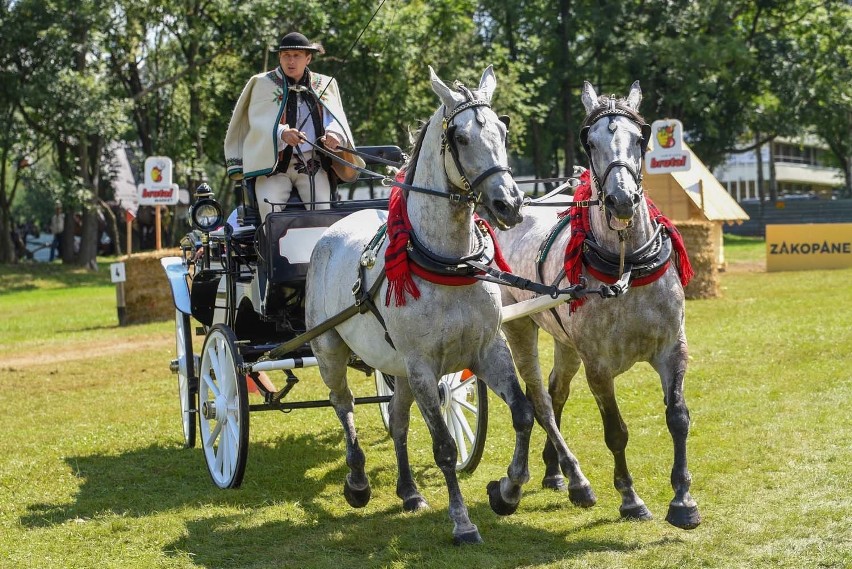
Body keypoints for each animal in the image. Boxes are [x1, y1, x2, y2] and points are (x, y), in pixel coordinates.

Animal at [306, 64, 532, 544]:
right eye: (460, 137)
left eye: (502, 129)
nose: (508, 203)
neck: (449, 262)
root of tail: (332, 231)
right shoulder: (425, 366)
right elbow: (445, 446)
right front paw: (463, 522)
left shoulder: (487, 351)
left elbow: (523, 415)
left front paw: (507, 491)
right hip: (331, 350)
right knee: (344, 406)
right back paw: (357, 482)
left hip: (398, 367)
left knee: (397, 419)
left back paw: (409, 490)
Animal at [492, 80, 700, 528]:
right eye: (589, 142)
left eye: (640, 138)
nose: (622, 199)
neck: (628, 266)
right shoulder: (599, 367)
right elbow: (616, 431)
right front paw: (630, 498)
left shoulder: (673, 349)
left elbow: (678, 417)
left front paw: (683, 499)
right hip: (519, 326)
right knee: (537, 401)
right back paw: (549, 479)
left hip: (565, 341)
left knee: (556, 392)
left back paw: (556, 472)